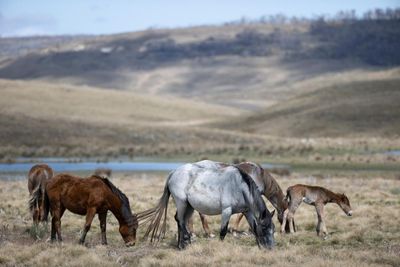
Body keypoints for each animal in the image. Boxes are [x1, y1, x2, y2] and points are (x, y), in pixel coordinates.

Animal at [138, 163, 276, 251]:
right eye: (265, 228)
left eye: (273, 229)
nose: (270, 248)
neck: (239, 186)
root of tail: (174, 172)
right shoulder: (227, 210)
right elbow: (223, 232)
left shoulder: (247, 212)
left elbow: (254, 228)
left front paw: (259, 246)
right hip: (182, 202)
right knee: (180, 220)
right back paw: (186, 241)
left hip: (189, 206)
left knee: (180, 220)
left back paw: (181, 245)